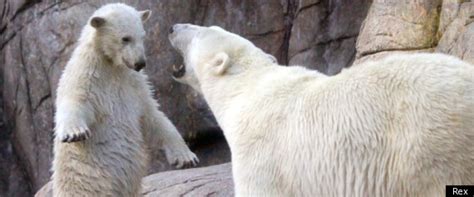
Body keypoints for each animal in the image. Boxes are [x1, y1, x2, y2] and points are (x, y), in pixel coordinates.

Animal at [52, 3, 199, 196]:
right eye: (125, 38)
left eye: (142, 36)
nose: (140, 63)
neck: (111, 66)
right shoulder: (86, 76)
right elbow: (75, 102)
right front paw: (75, 133)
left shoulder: (134, 85)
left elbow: (153, 116)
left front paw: (186, 157)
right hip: (87, 182)